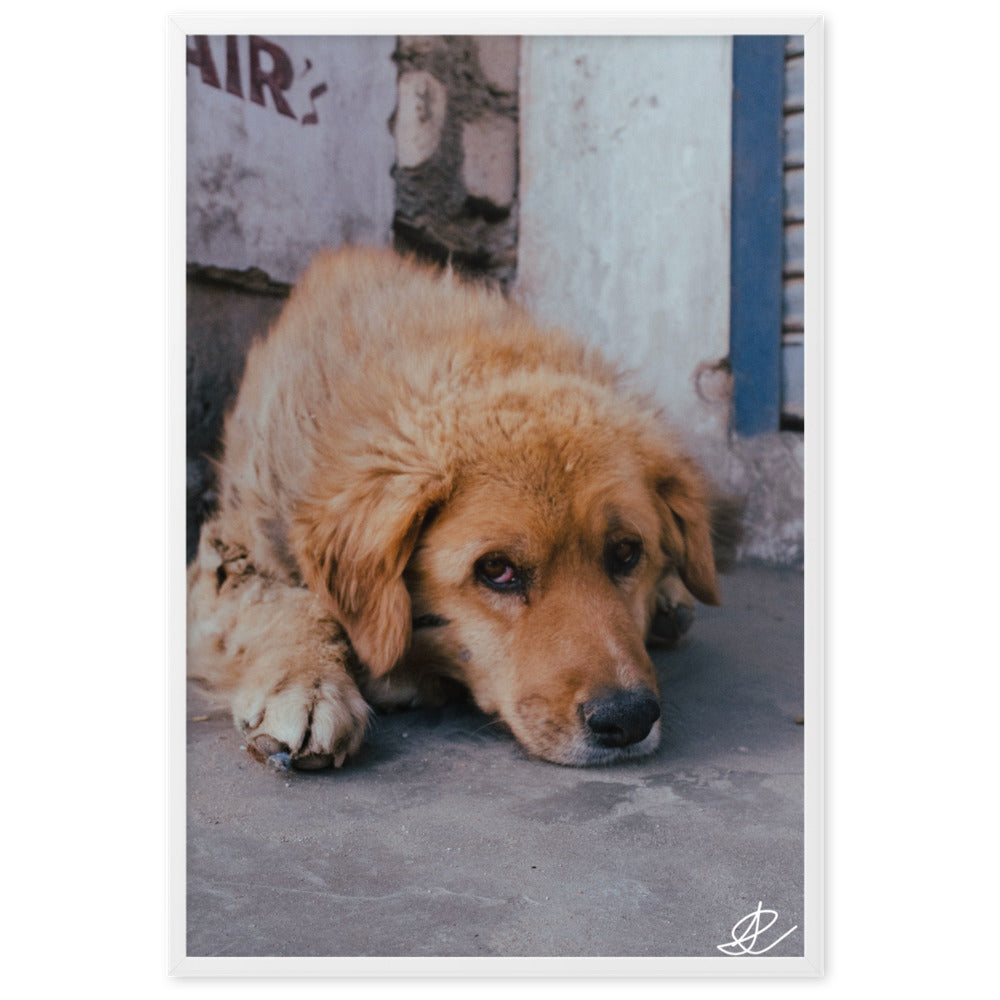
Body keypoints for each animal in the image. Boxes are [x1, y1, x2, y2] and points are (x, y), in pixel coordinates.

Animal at [188, 246, 720, 768]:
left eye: (627, 552)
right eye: (497, 570)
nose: (628, 718)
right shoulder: (228, 554)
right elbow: (286, 605)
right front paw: (308, 684)